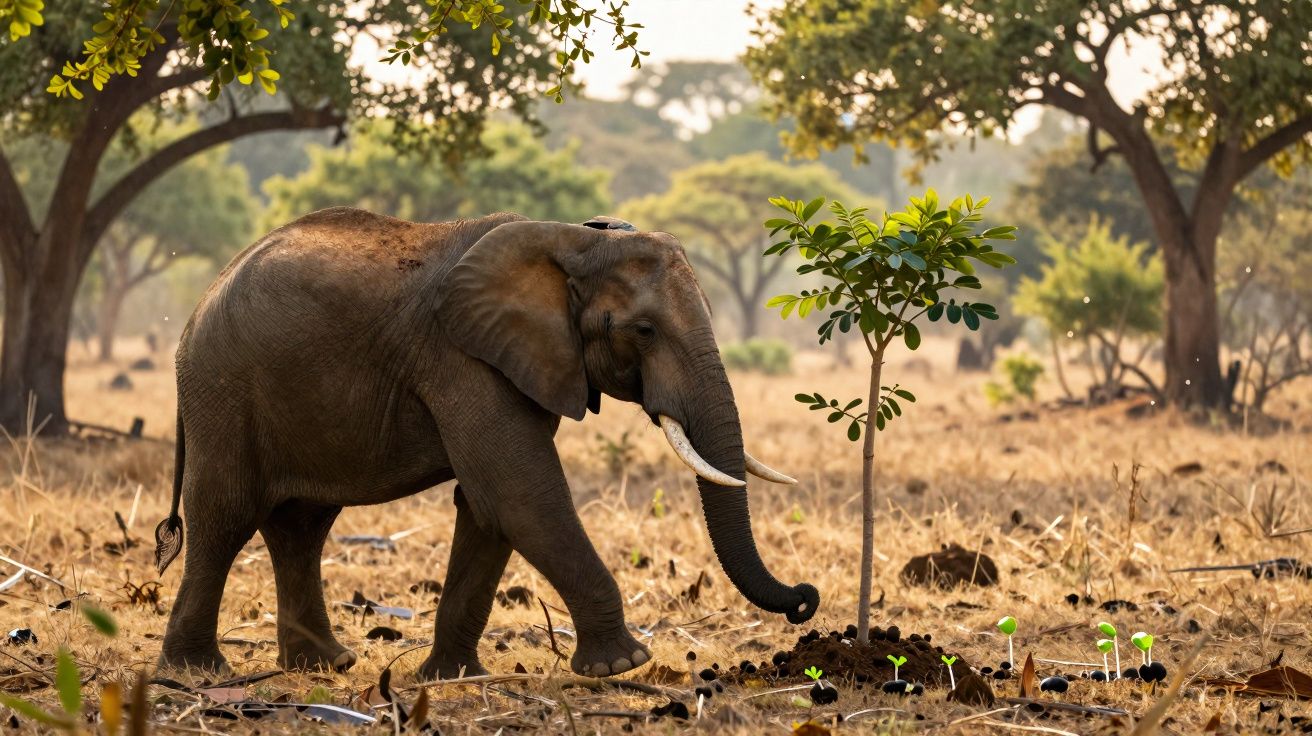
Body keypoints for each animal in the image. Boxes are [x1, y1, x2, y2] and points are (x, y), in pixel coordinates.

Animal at [153, 207, 819, 679]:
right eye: (644, 331)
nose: (805, 600)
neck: (575, 241)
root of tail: (194, 315)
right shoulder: (463, 360)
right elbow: (520, 494)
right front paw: (622, 666)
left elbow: (486, 507)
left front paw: (450, 678)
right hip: (223, 387)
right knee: (226, 515)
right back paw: (197, 673)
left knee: (301, 524)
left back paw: (325, 665)